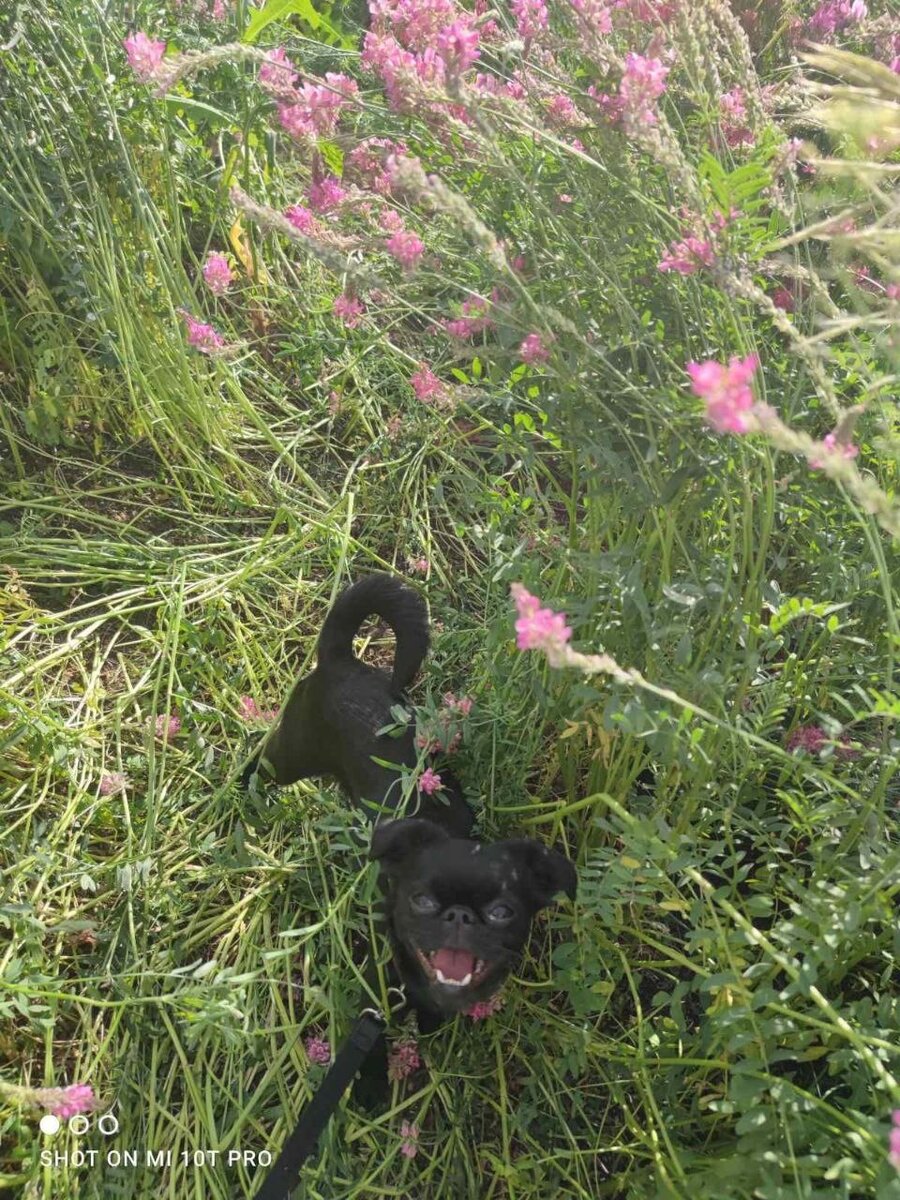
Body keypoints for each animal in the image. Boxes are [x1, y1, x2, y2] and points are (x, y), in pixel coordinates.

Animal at [241, 573, 578, 1022]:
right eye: (421, 900)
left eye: (502, 913)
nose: (459, 916)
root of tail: (340, 659)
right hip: (292, 755)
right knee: (262, 760)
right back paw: (241, 789)